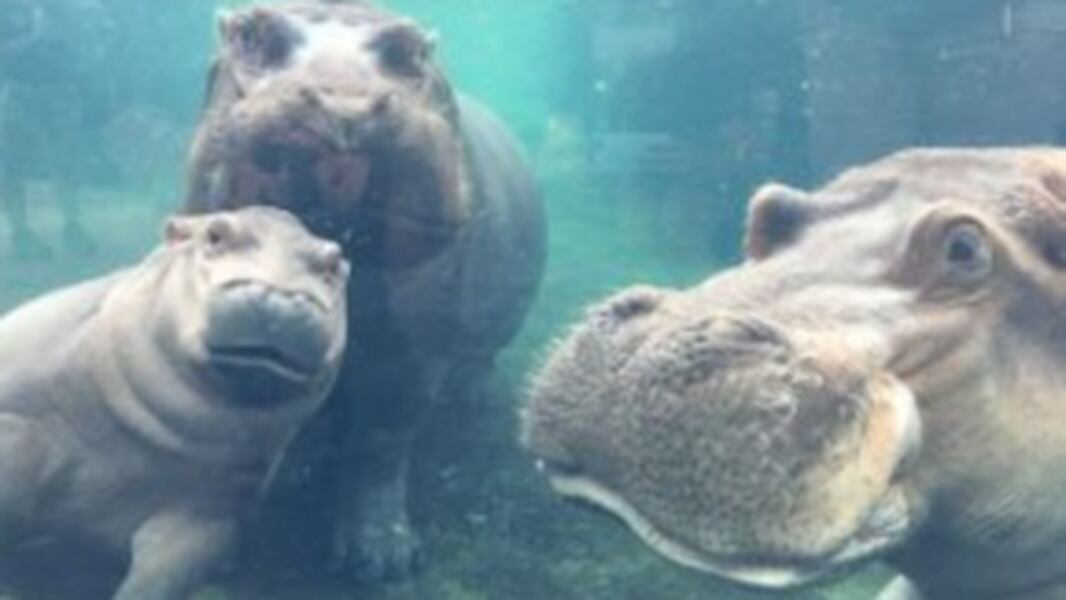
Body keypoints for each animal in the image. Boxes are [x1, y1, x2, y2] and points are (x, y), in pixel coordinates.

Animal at [0, 207, 347, 600]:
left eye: (335, 263)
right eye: (214, 233)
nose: (279, 293)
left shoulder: (205, 516)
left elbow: (160, 578)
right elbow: (24, 441)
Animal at [181, 0, 541, 584]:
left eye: (411, 47)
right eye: (252, 32)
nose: (341, 102)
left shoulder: (411, 348)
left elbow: (382, 442)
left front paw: (383, 561)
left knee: (477, 360)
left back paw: (472, 398)